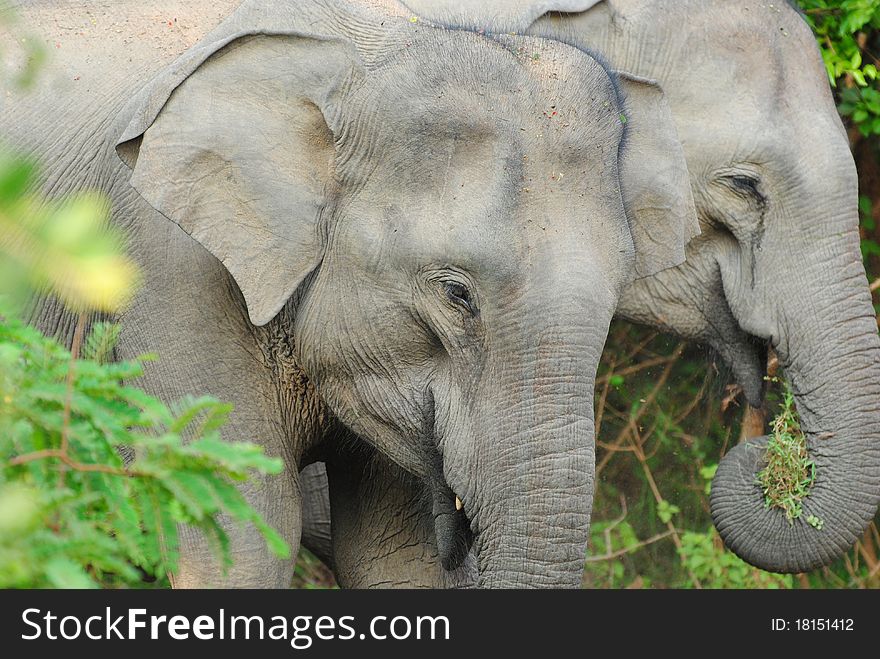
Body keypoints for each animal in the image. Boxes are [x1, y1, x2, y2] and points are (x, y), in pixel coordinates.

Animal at [1, 0, 700, 588]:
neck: (366, 50)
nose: (462, 533)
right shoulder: (165, 265)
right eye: (456, 294)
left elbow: (393, 558)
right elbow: (243, 536)